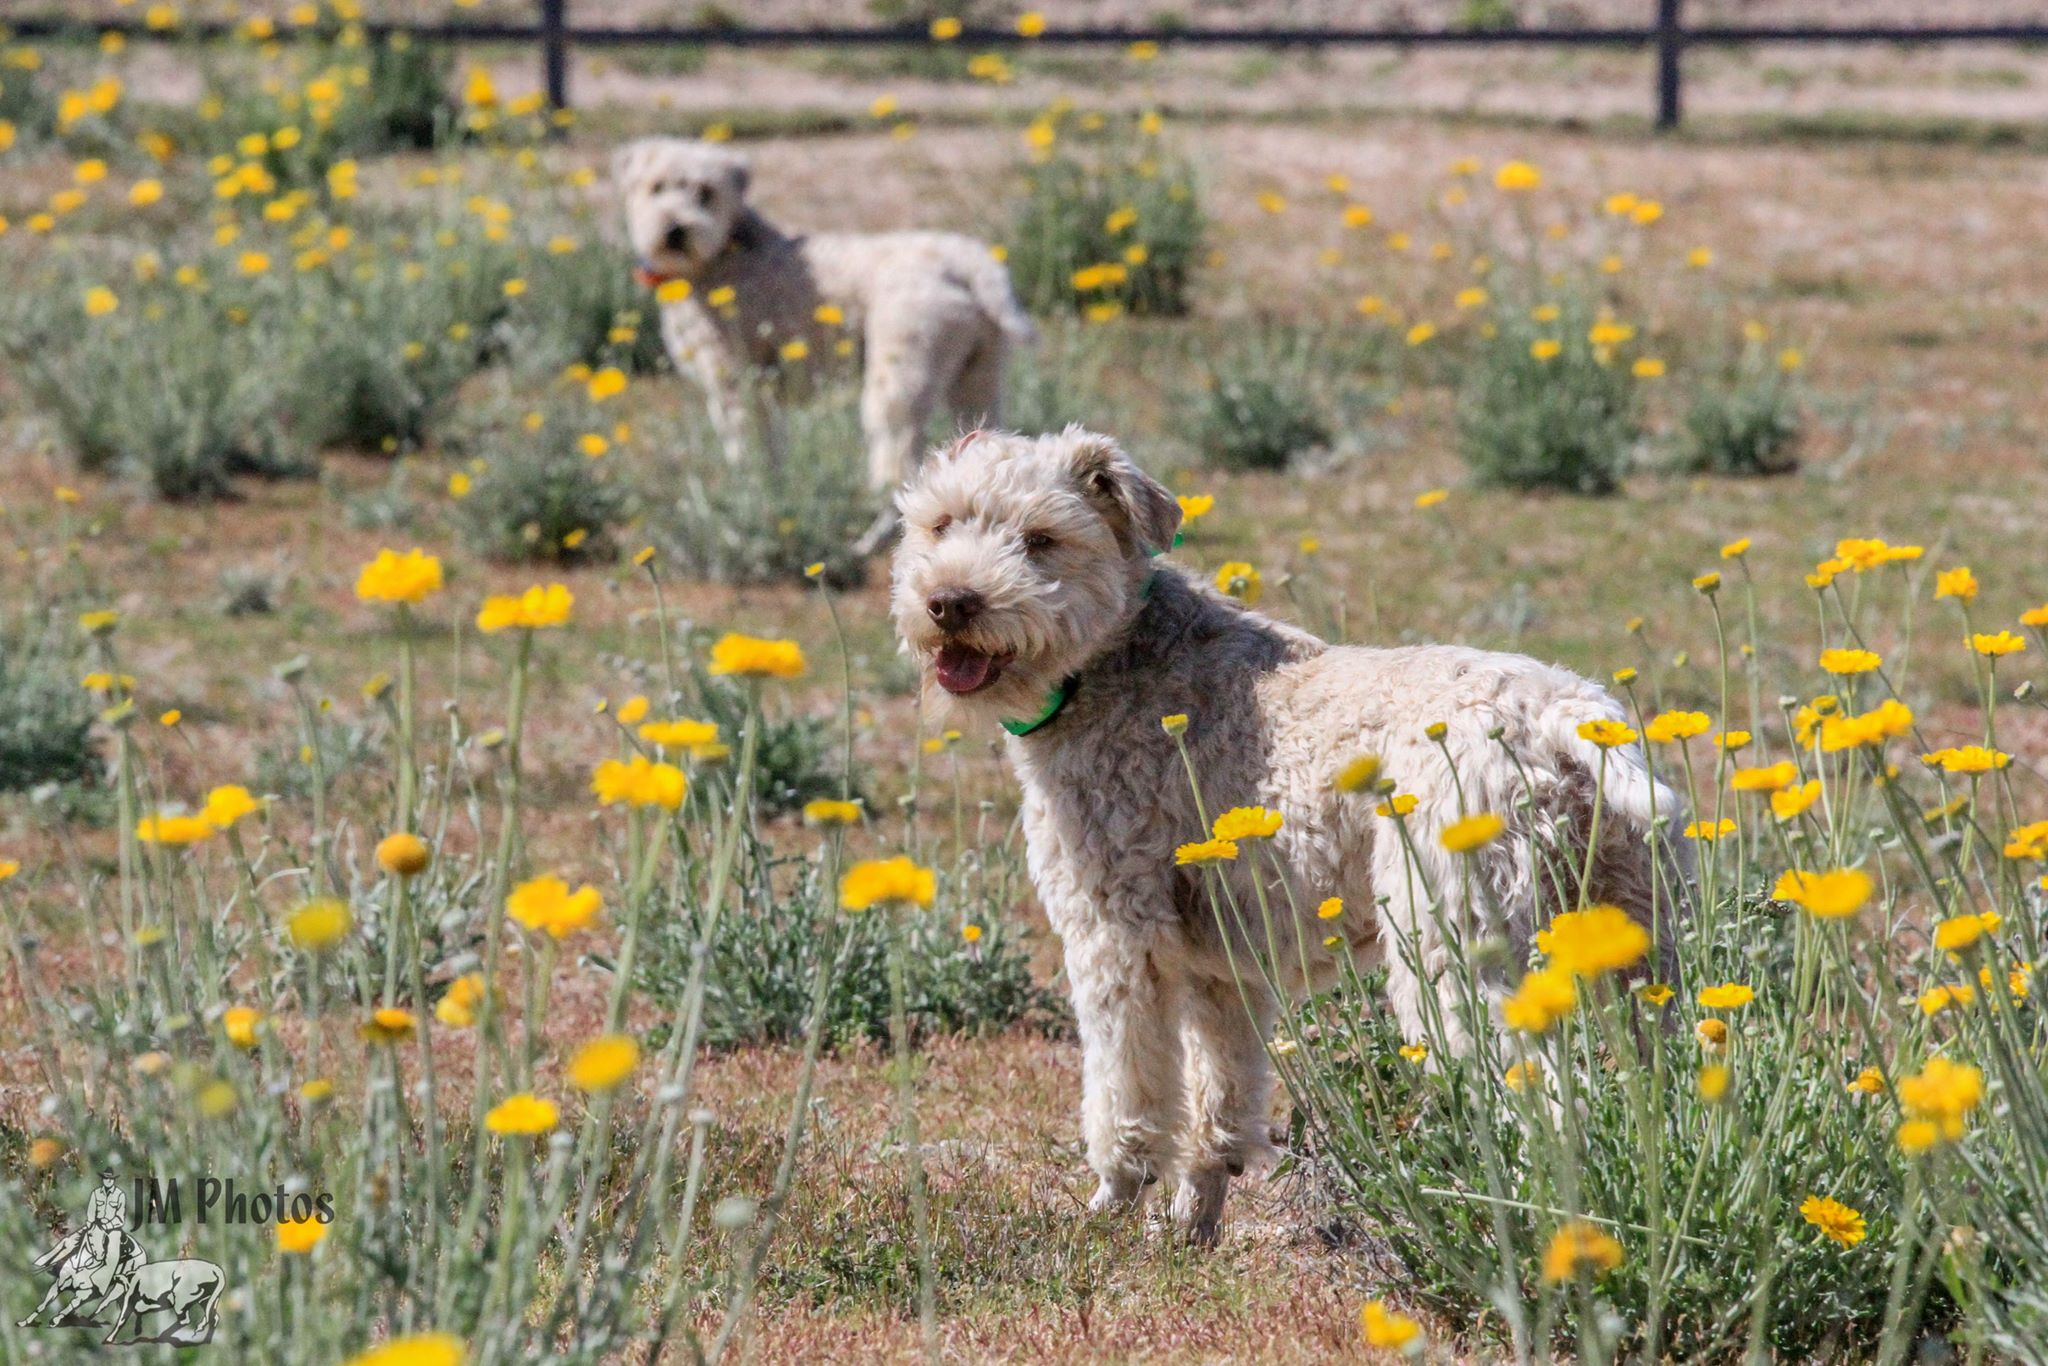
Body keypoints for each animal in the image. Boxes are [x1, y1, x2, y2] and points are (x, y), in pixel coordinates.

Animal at [613, 137, 1035, 527]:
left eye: (706, 192)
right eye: (656, 187)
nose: (675, 230)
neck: (723, 253)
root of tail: (971, 262)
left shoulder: (733, 381)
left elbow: (745, 447)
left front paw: (748, 491)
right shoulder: (763, 391)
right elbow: (772, 447)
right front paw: (772, 490)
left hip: (900, 372)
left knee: (895, 445)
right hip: (978, 375)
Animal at [890, 427, 1689, 1244]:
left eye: (1042, 540)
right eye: (940, 524)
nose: (949, 603)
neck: (1111, 660)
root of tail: (1569, 721)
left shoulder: (1113, 933)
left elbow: (1128, 1093)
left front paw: (1111, 1207)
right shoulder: (1223, 970)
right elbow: (1222, 1103)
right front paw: (1192, 1226)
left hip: (1456, 946)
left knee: (1544, 1098)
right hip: (1636, 948)